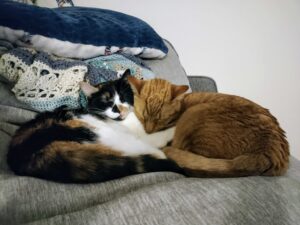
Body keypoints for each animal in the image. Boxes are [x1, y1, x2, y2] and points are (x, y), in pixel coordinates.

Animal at [6, 72, 180, 183]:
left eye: (123, 97)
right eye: (107, 102)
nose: (119, 110)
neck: (124, 122)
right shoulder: (136, 135)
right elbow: (157, 137)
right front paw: (175, 128)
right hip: (96, 130)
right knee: (147, 150)